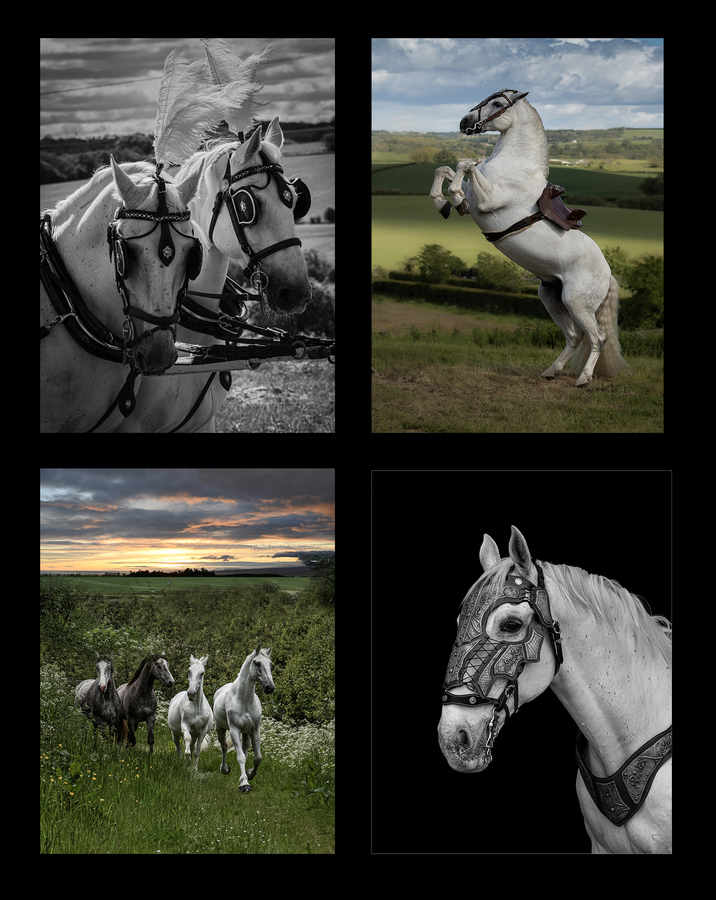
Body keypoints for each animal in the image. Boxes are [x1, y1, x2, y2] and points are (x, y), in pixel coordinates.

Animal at [213, 646, 275, 791]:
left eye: (271, 665)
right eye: (257, 663)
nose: (270, 687)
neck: (244, 701)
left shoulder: (254, 730)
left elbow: (257, 758)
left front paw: (249, 775)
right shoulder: (234, 730)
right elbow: (240, 757)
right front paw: (245, 785)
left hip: (246, 734)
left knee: (245, 750)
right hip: (220, 729)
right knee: (224, 747)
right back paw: (225, 769)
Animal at [429, 89, 630, 387]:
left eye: (497, 103)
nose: (464, 122)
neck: (515, 163)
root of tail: (608, 275)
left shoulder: (488, 200)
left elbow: (464, 165)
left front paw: (453, 197)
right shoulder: (475, 196)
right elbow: (444, 169)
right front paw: (444, 202)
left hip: (578, 303)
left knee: (598, 337)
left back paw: (583, 379)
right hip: (551, 297)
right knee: (574, 337)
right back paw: (551, 371)